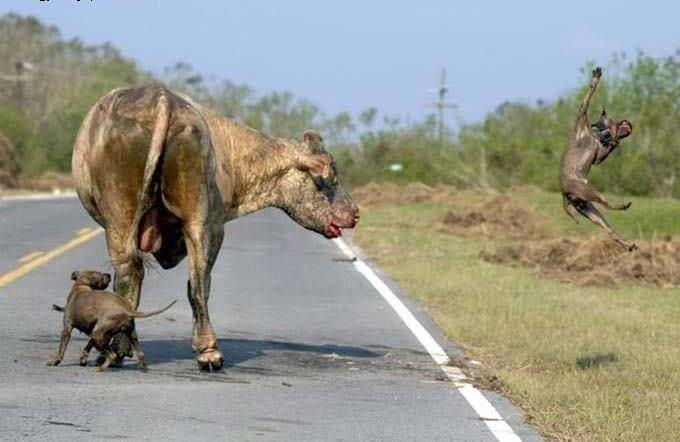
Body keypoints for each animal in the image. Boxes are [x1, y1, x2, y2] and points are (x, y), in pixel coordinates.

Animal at [47, 272, 175, 372]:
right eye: (99, 274)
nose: (108, 274)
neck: (81, 285)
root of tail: (125, 310)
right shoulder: (93, 331)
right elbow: (88, 345)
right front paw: (83, 359)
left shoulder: (67, 329)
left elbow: (62, 349)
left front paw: (55, 361)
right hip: (126, 334)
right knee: (140, 353)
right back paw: (144, 368)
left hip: (99, 334)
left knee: (112, 354)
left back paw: (101, 368)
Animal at [73, 84, 362, 372]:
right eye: (332, 178)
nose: (356, 213)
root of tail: (162, 98)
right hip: (191, 221)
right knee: (190, 283)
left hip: (140, 221)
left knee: (150, 277)